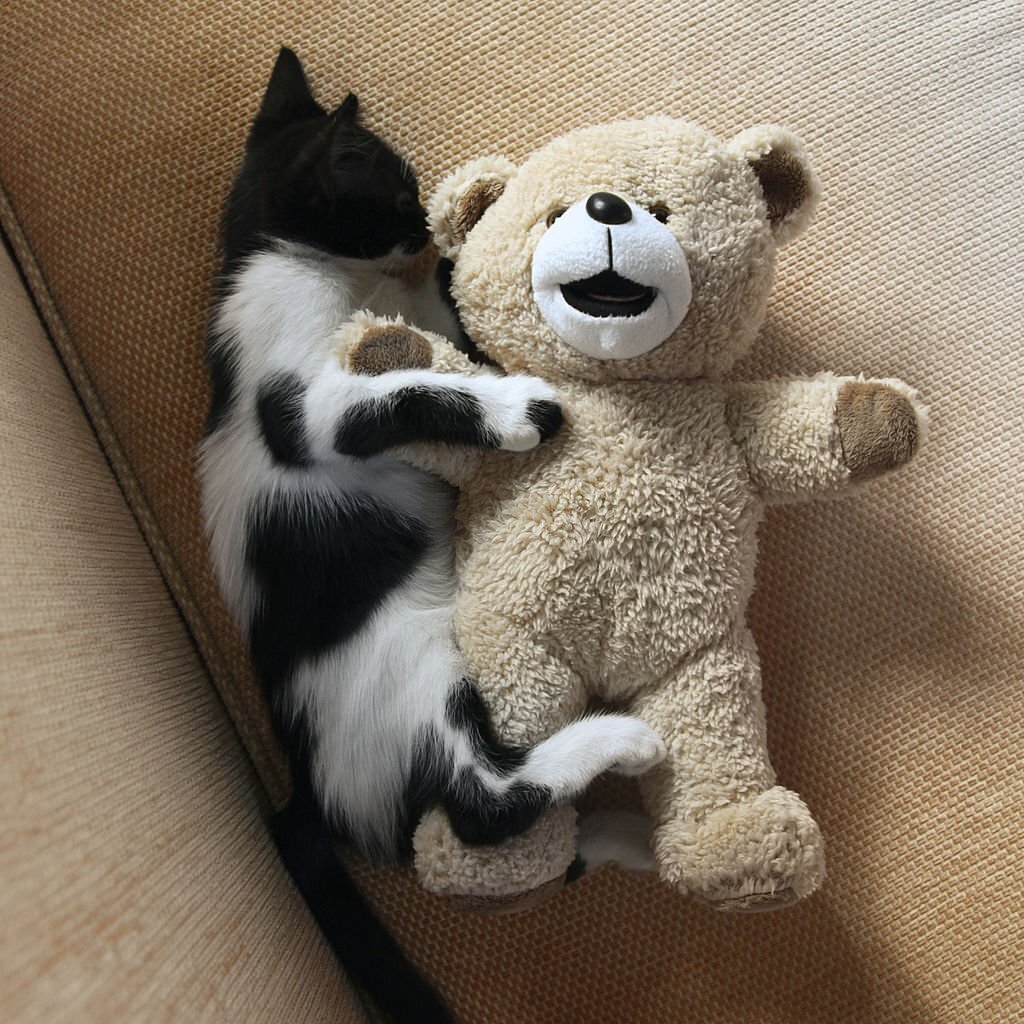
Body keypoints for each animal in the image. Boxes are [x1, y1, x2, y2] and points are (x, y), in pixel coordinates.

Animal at [198, 49, 663, 1024]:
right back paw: (619, 743)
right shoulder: (302, 407)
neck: (294, 261)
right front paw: (516, 407)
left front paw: (476, 245)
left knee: (533, 852)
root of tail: (304, 789)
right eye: (395, 188)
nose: (420, 221)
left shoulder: (414, 318)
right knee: (486, 802)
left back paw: (629, 835)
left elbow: (443, 321)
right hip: (411, 683)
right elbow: (402, 390)